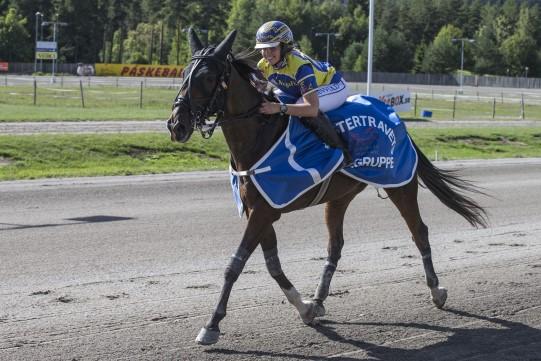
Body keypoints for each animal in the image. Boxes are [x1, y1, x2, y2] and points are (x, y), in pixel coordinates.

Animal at [167, 28, 488, 344]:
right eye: (183, 73)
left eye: (208, 78)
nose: (176, 125)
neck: (259, 137)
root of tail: (397, 120)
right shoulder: (260, 209)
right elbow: (272, 264)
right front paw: (305, 307)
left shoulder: (265, 210)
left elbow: (235, 265)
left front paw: (211, 324)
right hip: (339, 198)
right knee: (335, 245)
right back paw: (319, 298)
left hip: (400, 184)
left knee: (419, 232)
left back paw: (436, 290)